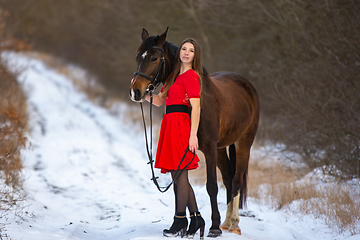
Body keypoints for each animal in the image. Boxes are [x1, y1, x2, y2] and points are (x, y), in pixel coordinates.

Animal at [131, 27, 260, 236]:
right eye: (137, 57)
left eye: (154, 58)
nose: (135, 92)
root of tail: (247, 85)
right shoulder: (190, 152)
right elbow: (181, 185)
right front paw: (185, 225)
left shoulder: (208, 149)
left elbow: (211, 186)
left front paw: (213, 228)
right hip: (220, 148)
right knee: (228, 178)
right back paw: (226, 222)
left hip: (243, 144)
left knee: (237, 180)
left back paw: (233, 224)